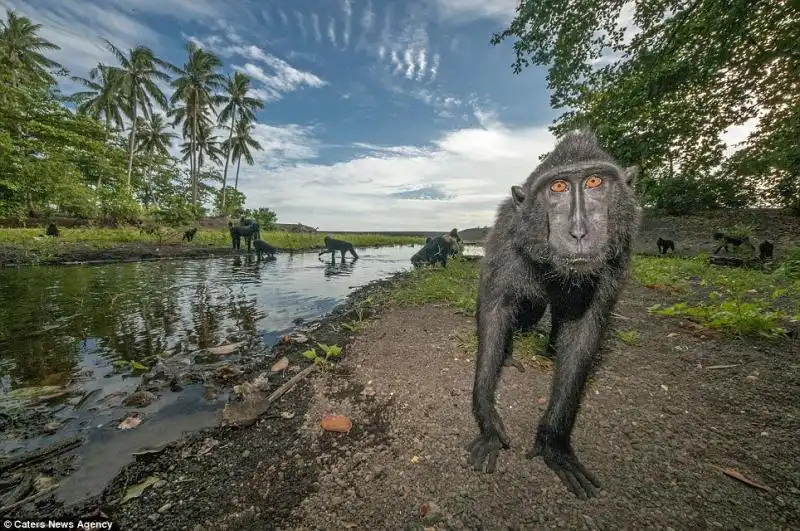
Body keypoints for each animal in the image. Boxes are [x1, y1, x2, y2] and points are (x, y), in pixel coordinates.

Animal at [466, 128, 640, 498]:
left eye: (594, 182)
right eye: (558, 187)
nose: (579, 231)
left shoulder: (618, 255)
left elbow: (583, 331)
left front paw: (555, 443)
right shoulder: (507, 235)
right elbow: (495, 311)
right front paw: (488, 420)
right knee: (526, 310)